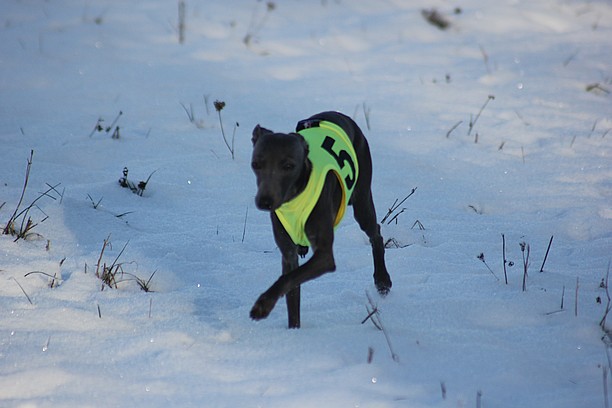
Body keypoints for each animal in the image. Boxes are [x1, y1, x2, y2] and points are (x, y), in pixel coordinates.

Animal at [249, 111, 392, 328]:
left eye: (288, 166)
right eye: (256, 164)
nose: (265, 201)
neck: (295, 196)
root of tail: (341, 115)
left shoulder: (325, 257)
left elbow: (286, 279)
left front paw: (263, 304)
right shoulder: (288, 254)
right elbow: (291, 285)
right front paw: (293, 331)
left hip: (362, 199)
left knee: (375, 233)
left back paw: (382, 280)